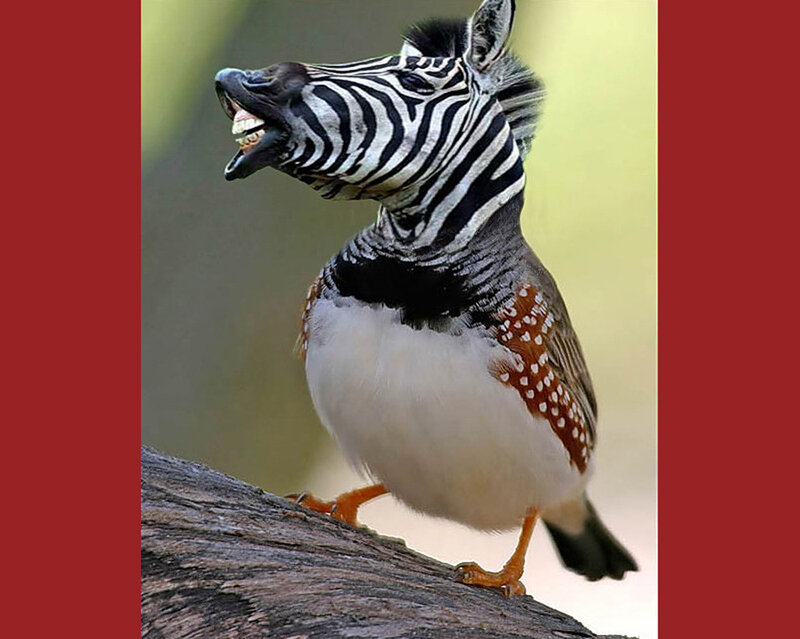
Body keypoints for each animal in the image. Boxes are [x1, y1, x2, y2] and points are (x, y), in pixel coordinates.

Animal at [215, 0, 637, 596]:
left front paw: (504, 577)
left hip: (566, 463)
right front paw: (333, 503)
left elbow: (531, 513)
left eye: (415, 80)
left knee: (545, 506)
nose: (244, 80)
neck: (411, 264)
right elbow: (376, 483)